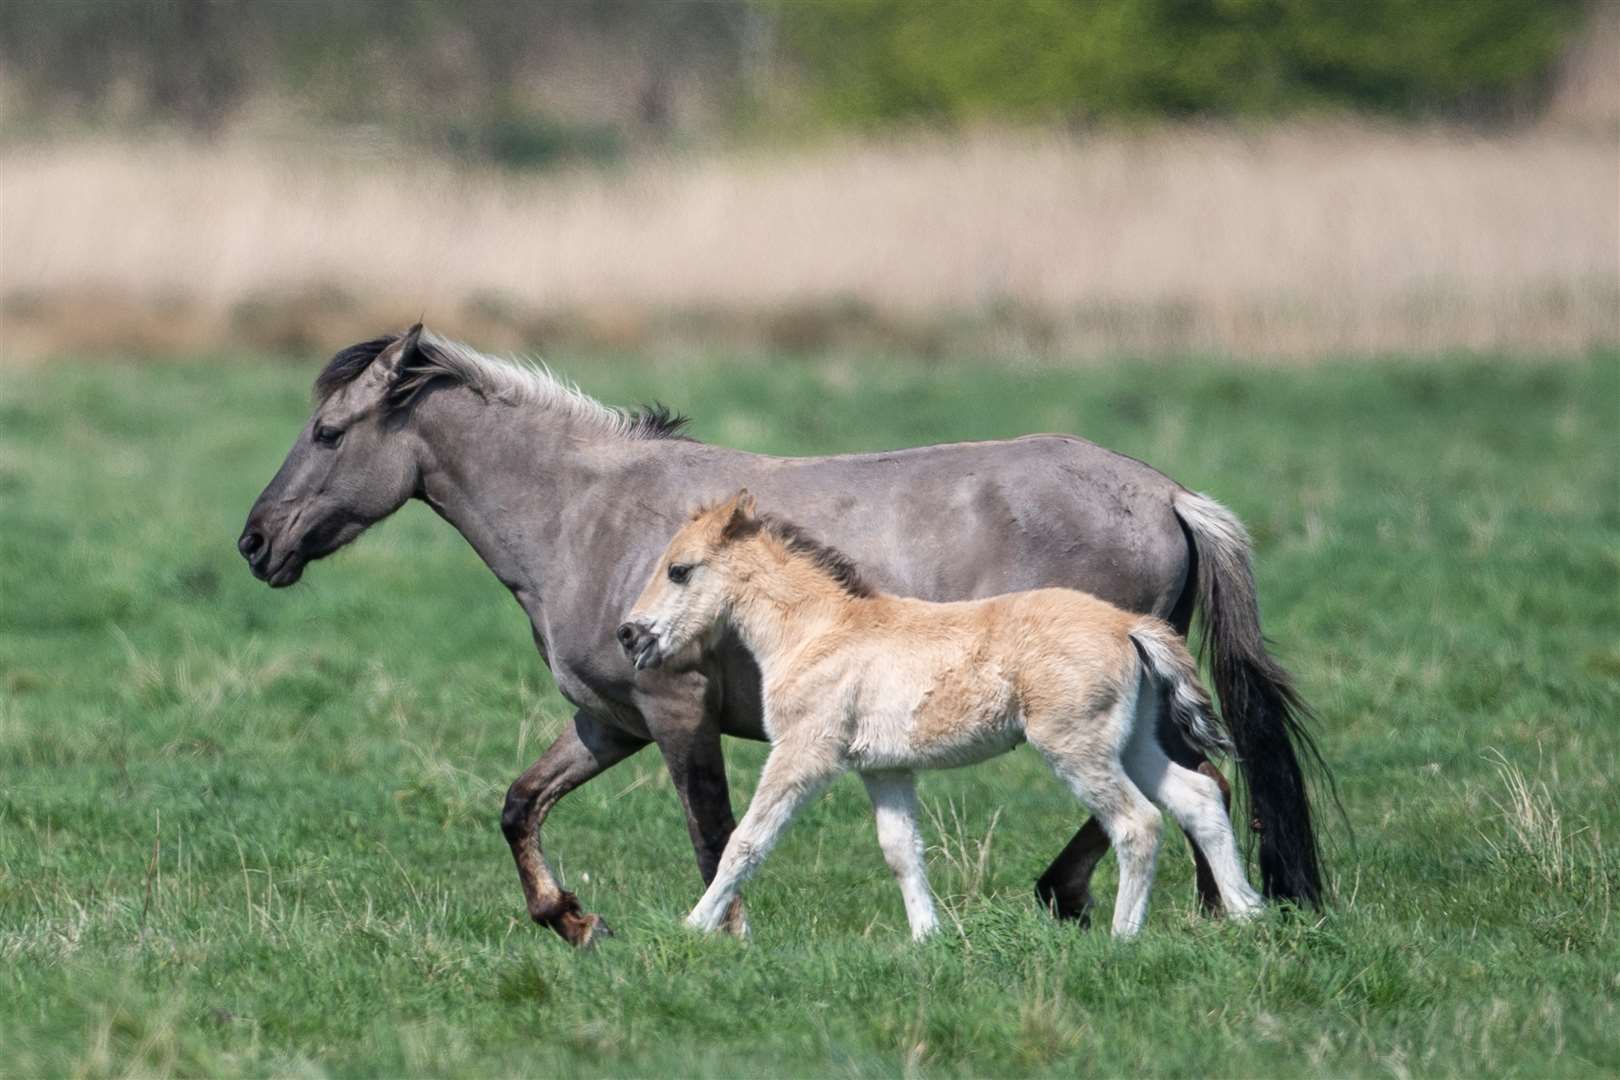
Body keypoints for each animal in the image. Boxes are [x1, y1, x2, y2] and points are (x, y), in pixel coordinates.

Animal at [612, 488, 1257, 939]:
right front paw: (928, 938)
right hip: (1137, 742)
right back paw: (1249, 914)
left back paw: (1124, 938)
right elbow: (902, 851)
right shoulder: (884, 769)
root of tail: (1127, 625)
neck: (818, 632)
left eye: (679, 569)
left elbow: (746, 841)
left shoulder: (804, 753)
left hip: (1077, 747)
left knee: (1138, 824)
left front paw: (694, 928)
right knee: (1199, 799)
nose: (629, 635)